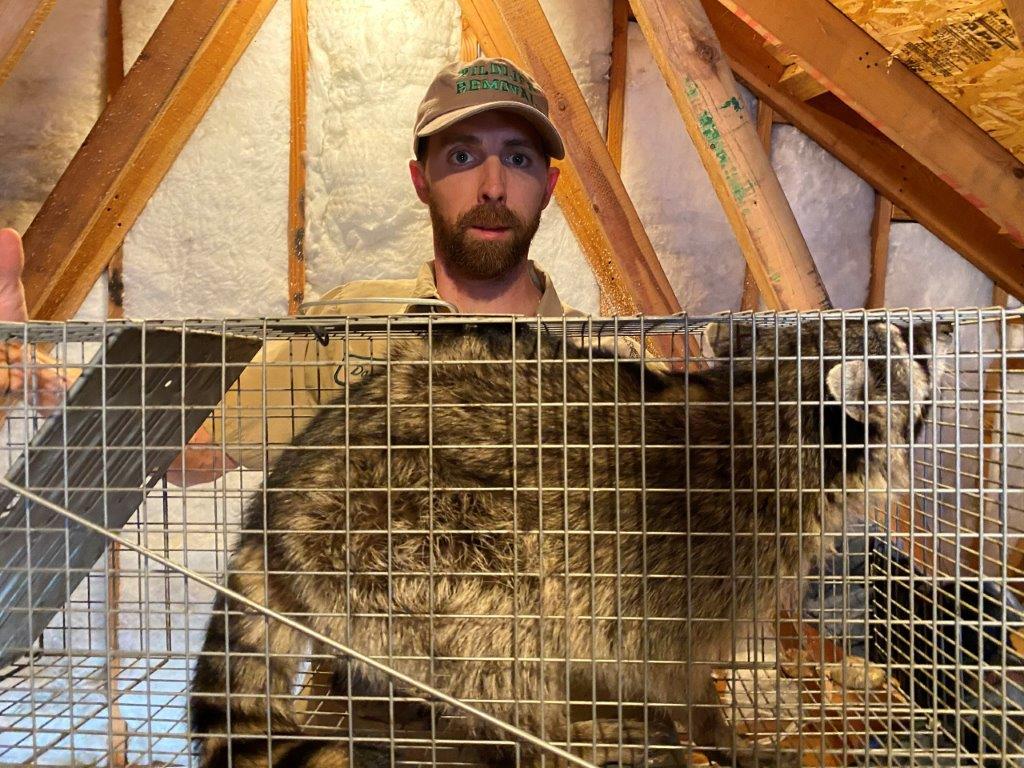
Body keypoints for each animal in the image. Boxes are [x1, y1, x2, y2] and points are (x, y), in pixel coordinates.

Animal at [190, 317, 948, 768]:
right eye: (902, 347)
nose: (932, 324)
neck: (767, 411)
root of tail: (280, 496)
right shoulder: (702, 556)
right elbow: (676, 669)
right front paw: (721, 733)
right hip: (400, 536)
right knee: (501, 629)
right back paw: (556, 733)